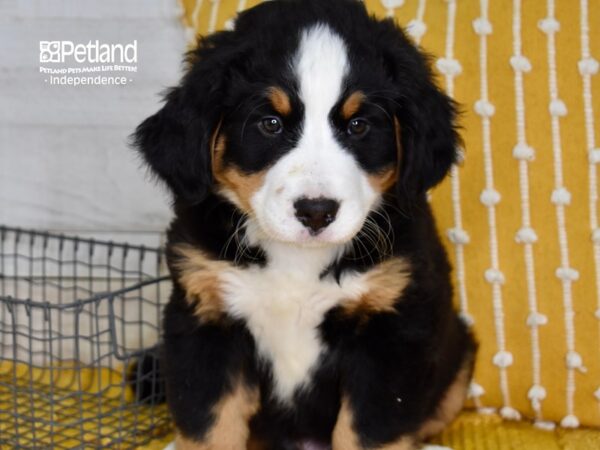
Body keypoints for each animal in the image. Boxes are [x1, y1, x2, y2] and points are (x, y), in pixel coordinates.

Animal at [134, 0, 476, 448]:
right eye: (271, 124)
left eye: (358, 125)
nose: (316, 211)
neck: (296, 262)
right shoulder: (206, 318)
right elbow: (210, 425)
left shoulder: (391, 332)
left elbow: (370, 432)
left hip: (458, 357)